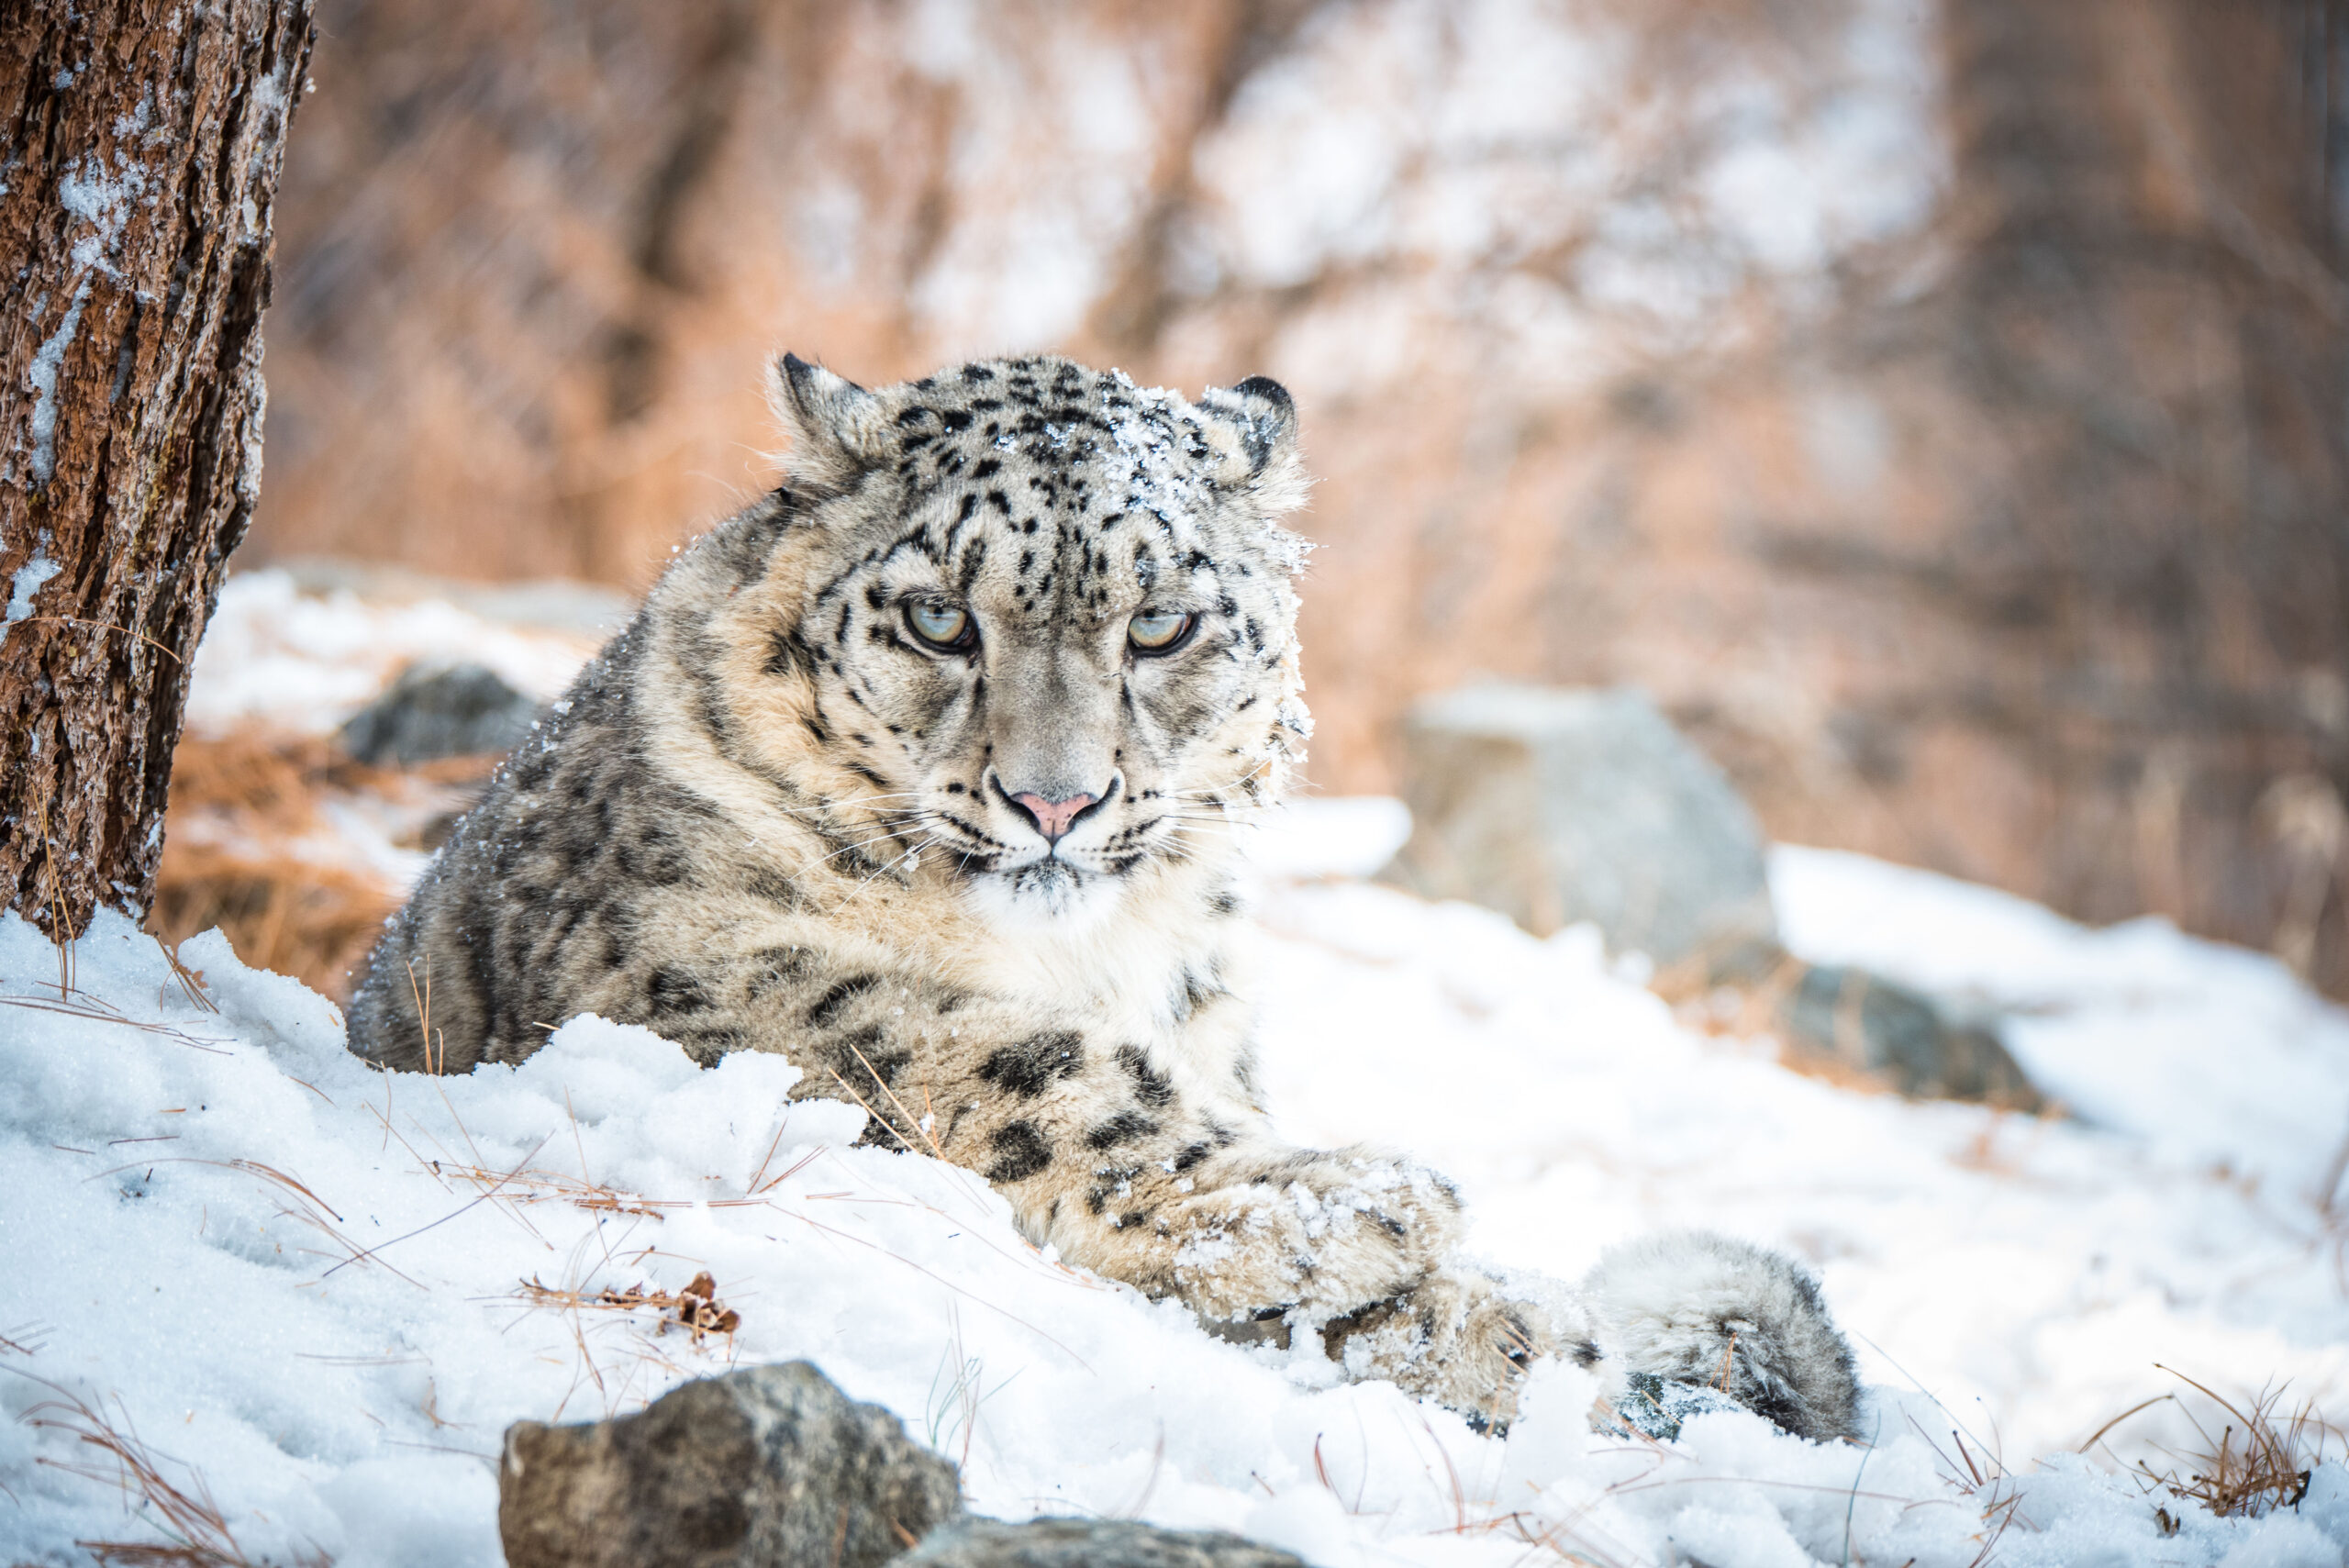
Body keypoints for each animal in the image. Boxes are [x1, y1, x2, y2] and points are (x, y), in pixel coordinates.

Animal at [345, 352, 1861, 1440]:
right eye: (938, 618)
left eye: (1162, 624)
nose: (1055, 802)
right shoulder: (671, 964)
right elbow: (992, 1055)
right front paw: (1368, 1202)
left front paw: (1513, 1330)